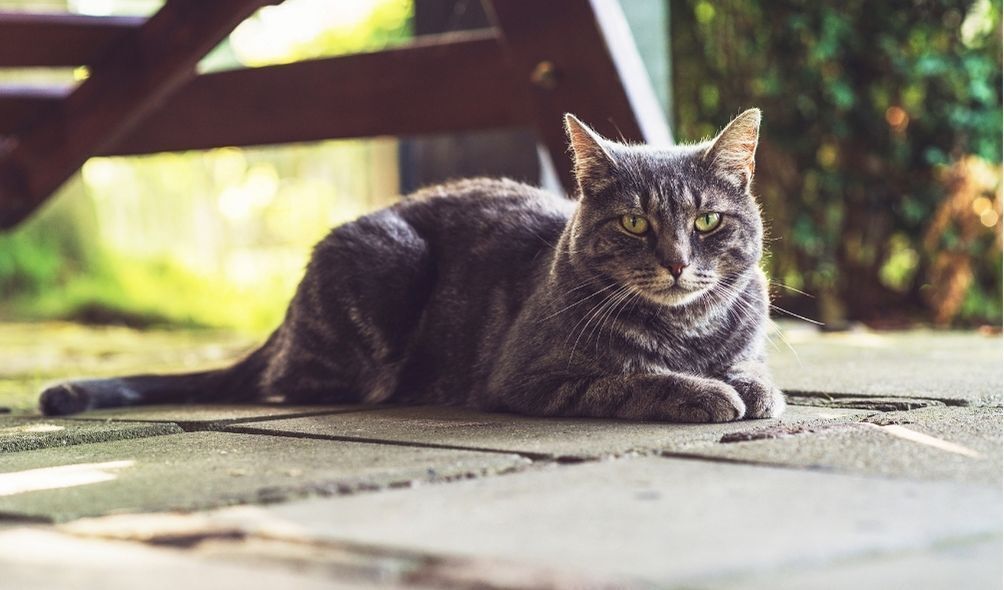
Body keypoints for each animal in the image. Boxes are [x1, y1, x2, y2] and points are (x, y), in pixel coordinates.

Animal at [37, 108, 783, 421]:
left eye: (707, 221)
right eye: (634, 223)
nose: (678, 263)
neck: (685, 331)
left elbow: (757, 376)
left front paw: (748, 386)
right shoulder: (531, 377)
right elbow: (631, 380)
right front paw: (705, 393)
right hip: (389, 263)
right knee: (288, 384)